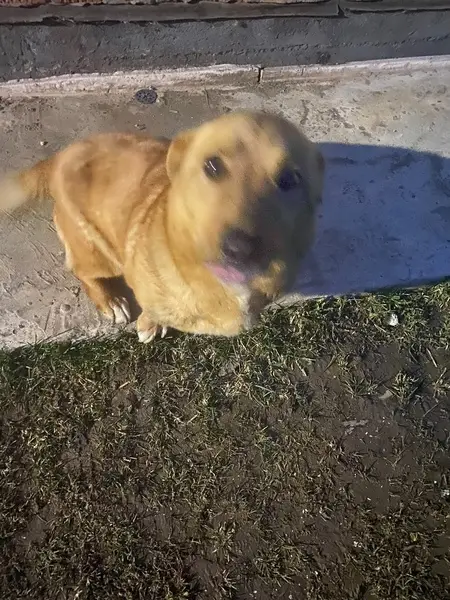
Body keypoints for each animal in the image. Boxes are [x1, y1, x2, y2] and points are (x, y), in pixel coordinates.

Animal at [1, 110, 324, 342]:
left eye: (290, 179)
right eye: (212, 165)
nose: (238, 248)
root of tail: (57, 159)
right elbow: (151, 310)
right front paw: (150, 324)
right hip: (99, 253)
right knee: (82, 271)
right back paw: (111, 300)